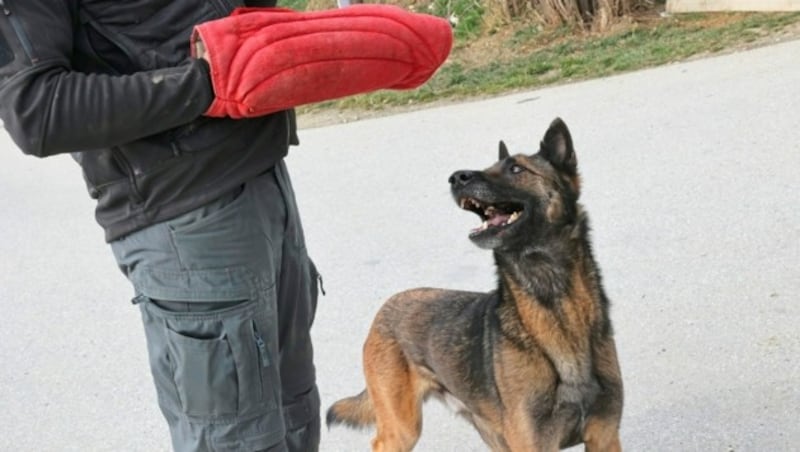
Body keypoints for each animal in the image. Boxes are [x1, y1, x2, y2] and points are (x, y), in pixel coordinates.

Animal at [324, 118, 624, 450]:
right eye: (489, 166)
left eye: (516, 169)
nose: (457, 177)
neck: (556, 305)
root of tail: (386, 308)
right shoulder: (533, 443)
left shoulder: (604, 437)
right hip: (402, 428)